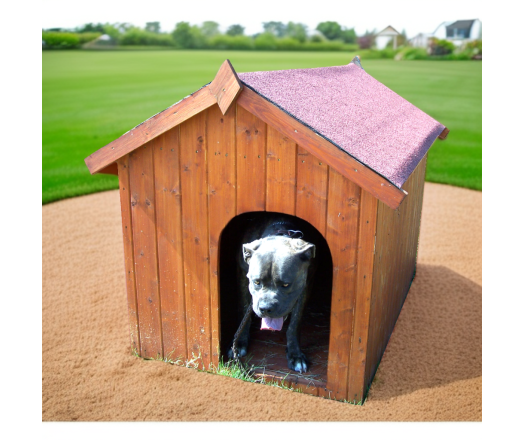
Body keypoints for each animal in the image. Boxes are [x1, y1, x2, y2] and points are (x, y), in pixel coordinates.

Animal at [227, 213, 318, 372]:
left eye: (286, 284)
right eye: (256, 282)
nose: (265, 308)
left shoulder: (306, 285)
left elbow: (295, 323)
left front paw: (295, 355)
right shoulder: (242, 275)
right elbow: (243, 309)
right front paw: (239, 343)